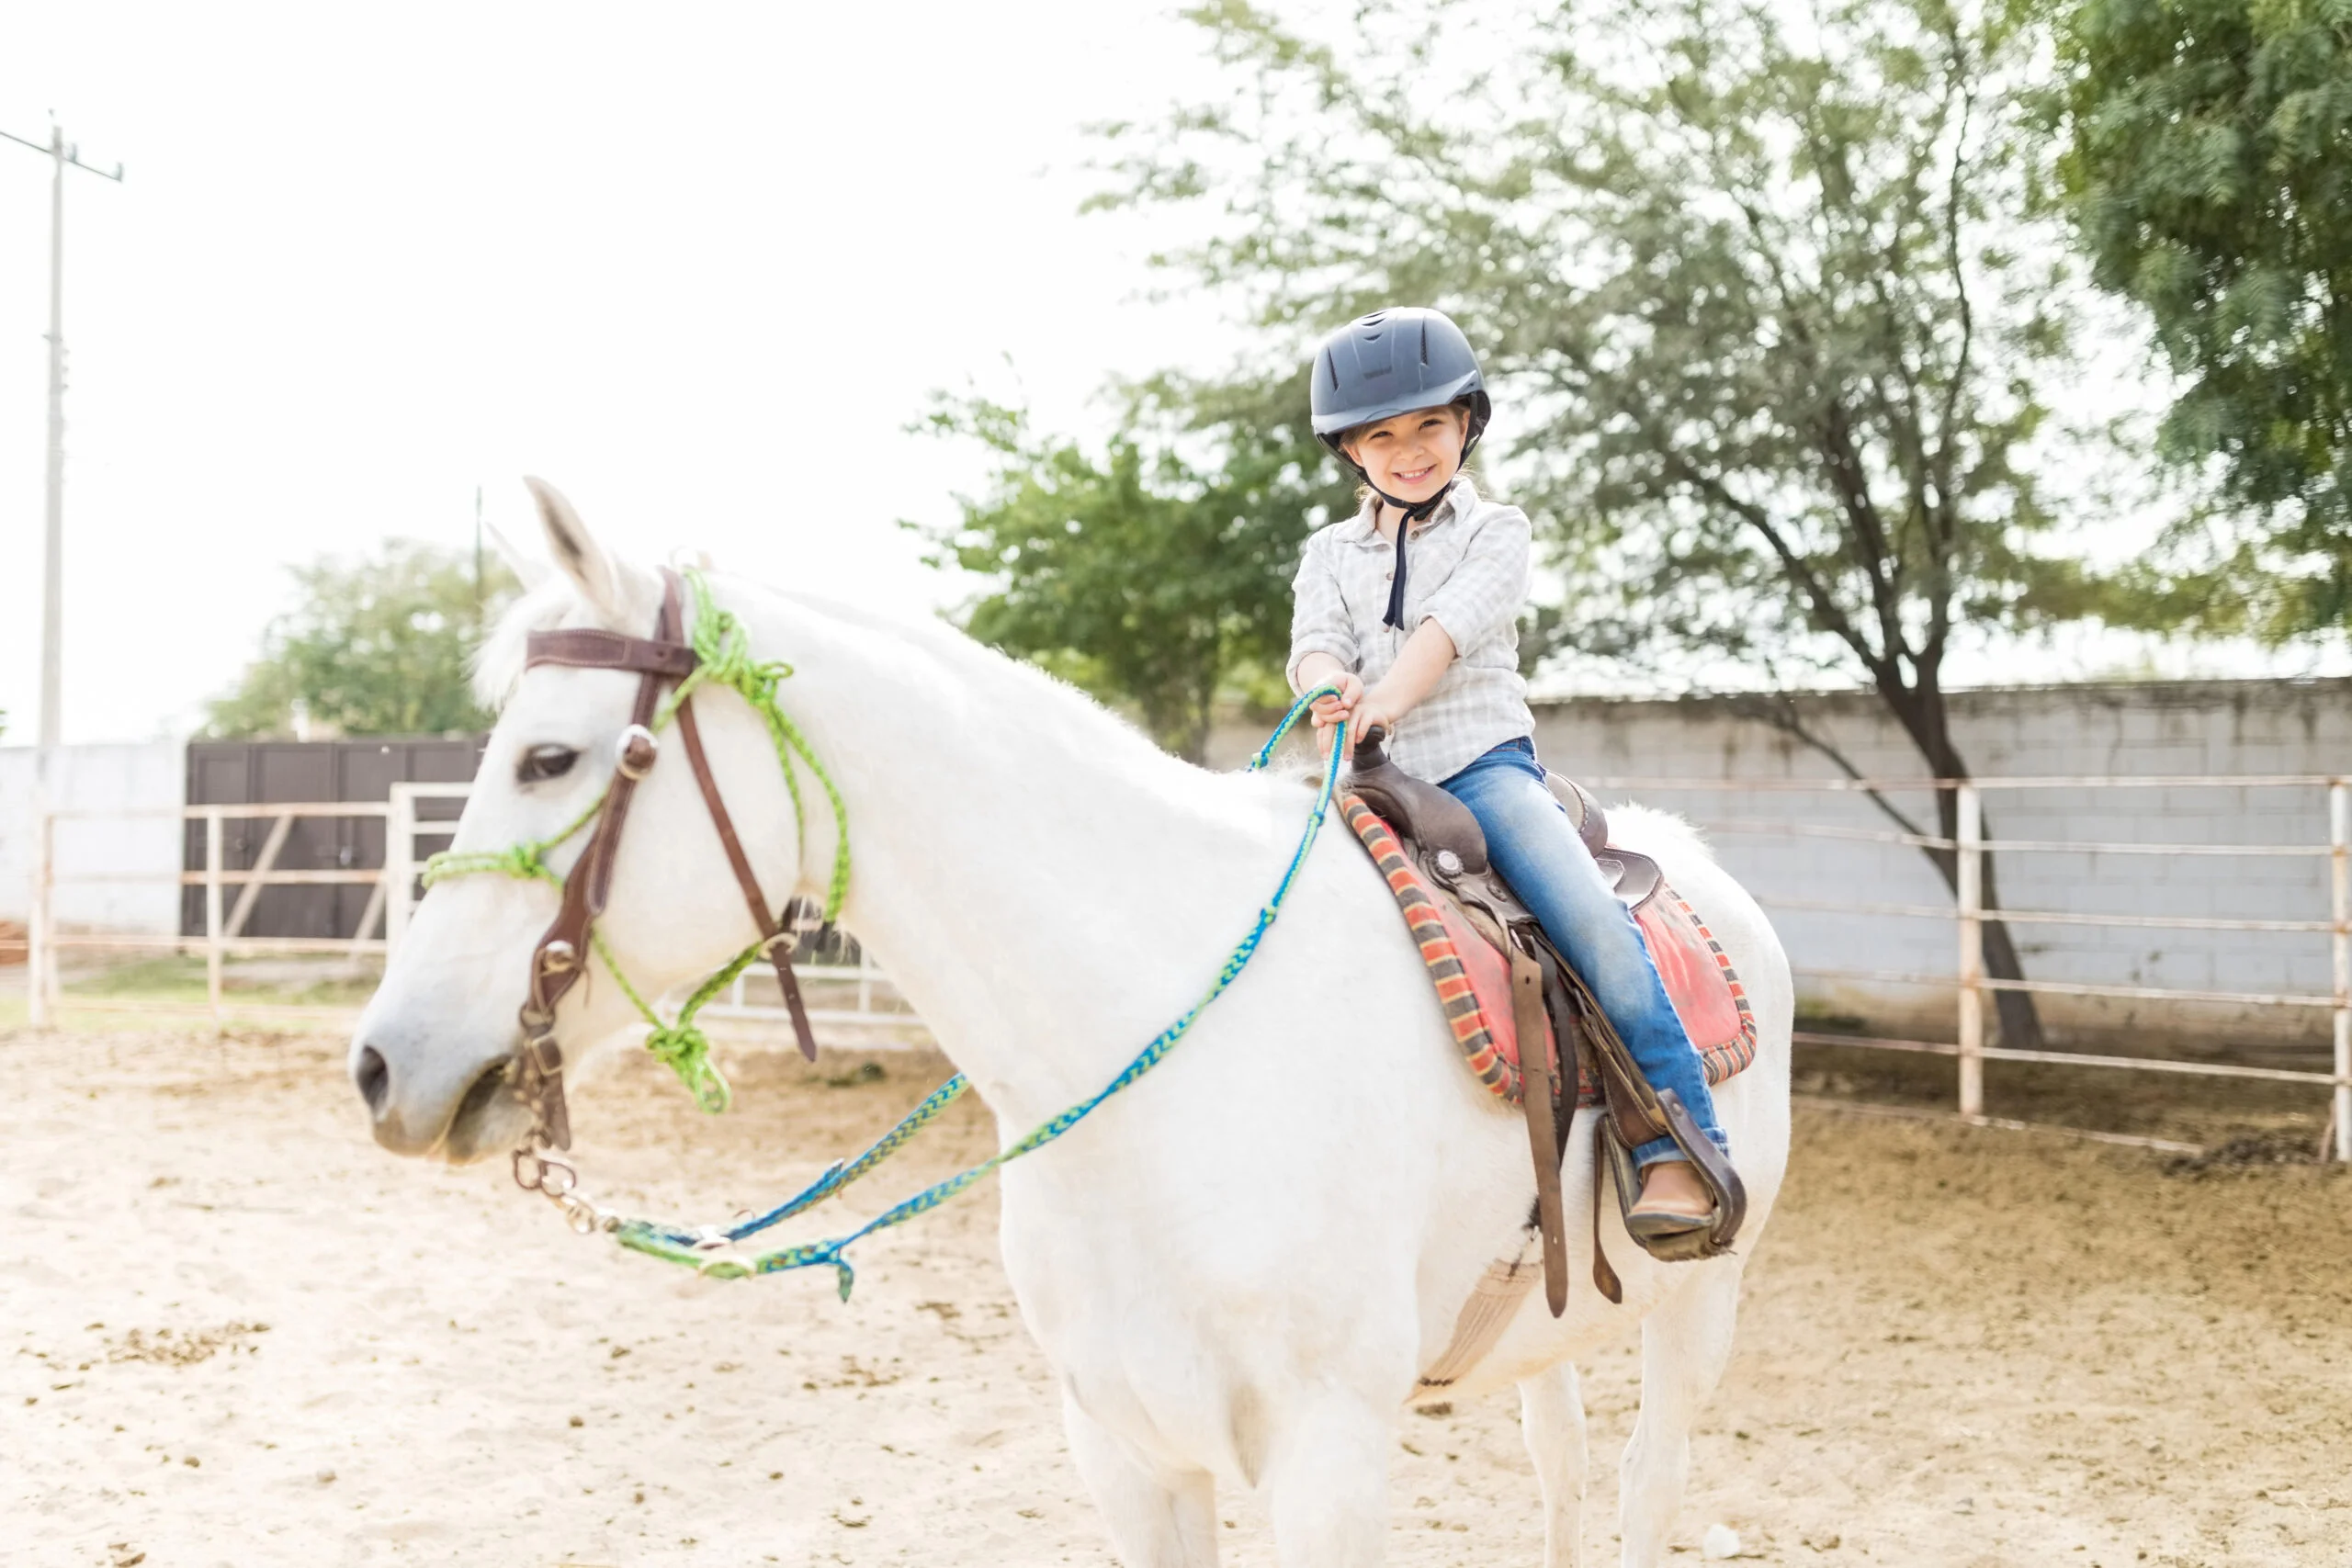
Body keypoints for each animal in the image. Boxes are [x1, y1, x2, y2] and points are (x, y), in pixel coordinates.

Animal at [347, 484, 1787, 1561]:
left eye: (550, 757)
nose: (380, 1062)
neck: (1161, 1064)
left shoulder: (1327, 1458)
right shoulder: (1124, 1446)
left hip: (1699, 1306)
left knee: (1646, 1483)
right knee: (1562, 1466)